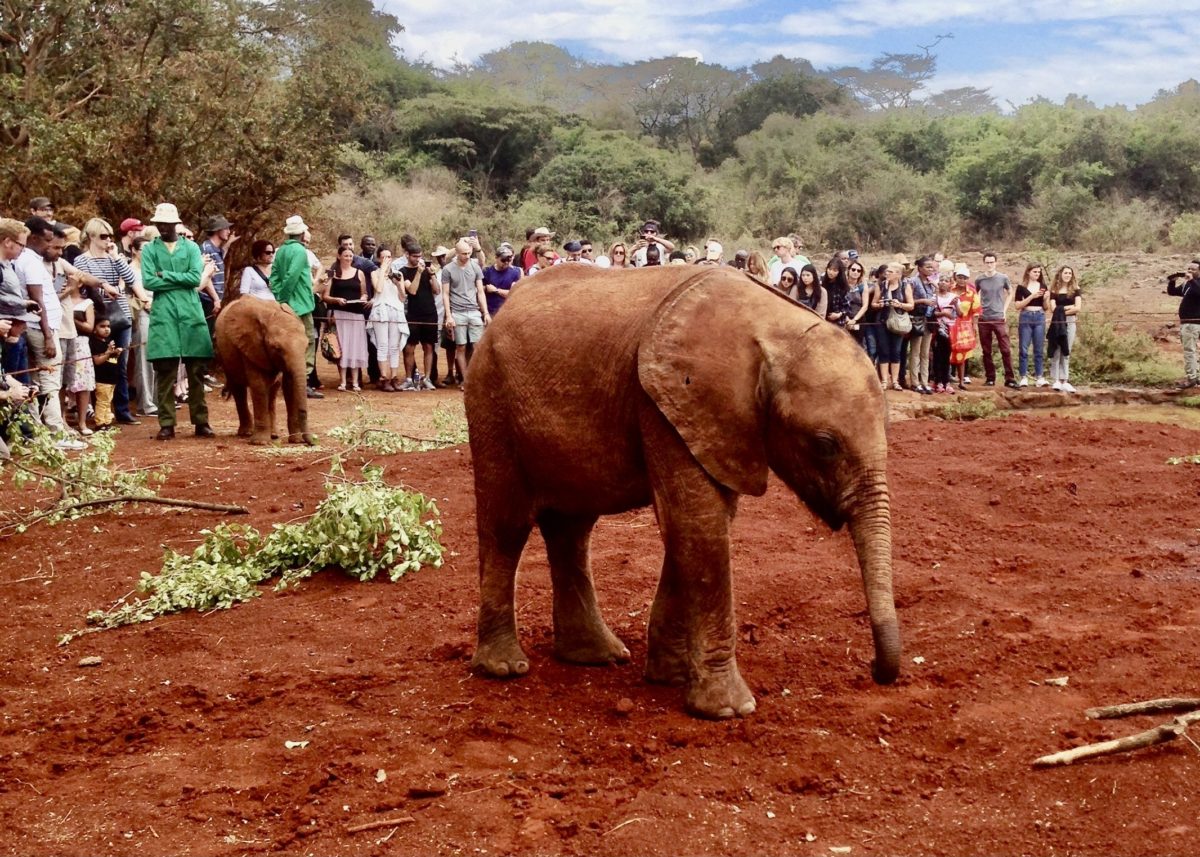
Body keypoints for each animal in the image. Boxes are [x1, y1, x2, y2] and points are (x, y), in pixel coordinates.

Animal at [214, 298, 315, 446]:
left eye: (307, 346)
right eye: (277, 348)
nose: (312, 442)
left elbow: (290, 385)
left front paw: (296, 441)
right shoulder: (250, 346)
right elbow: (259, 385)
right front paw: (259, 442)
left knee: (273, 390)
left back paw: (273, 435)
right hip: (225, 355)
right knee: (239, 389)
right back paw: (246, 433)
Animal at [464, 264, 901, 719]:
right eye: (824, 445)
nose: (876, 670)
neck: (774, 326)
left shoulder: (712, 419)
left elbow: (698, 526)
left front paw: (670, 676)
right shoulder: (664, 403)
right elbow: (696, 524)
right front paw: (729, 710)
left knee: (572, 530)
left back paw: (597, 656)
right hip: (490, 399)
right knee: (508, 527)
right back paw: (505, 668)